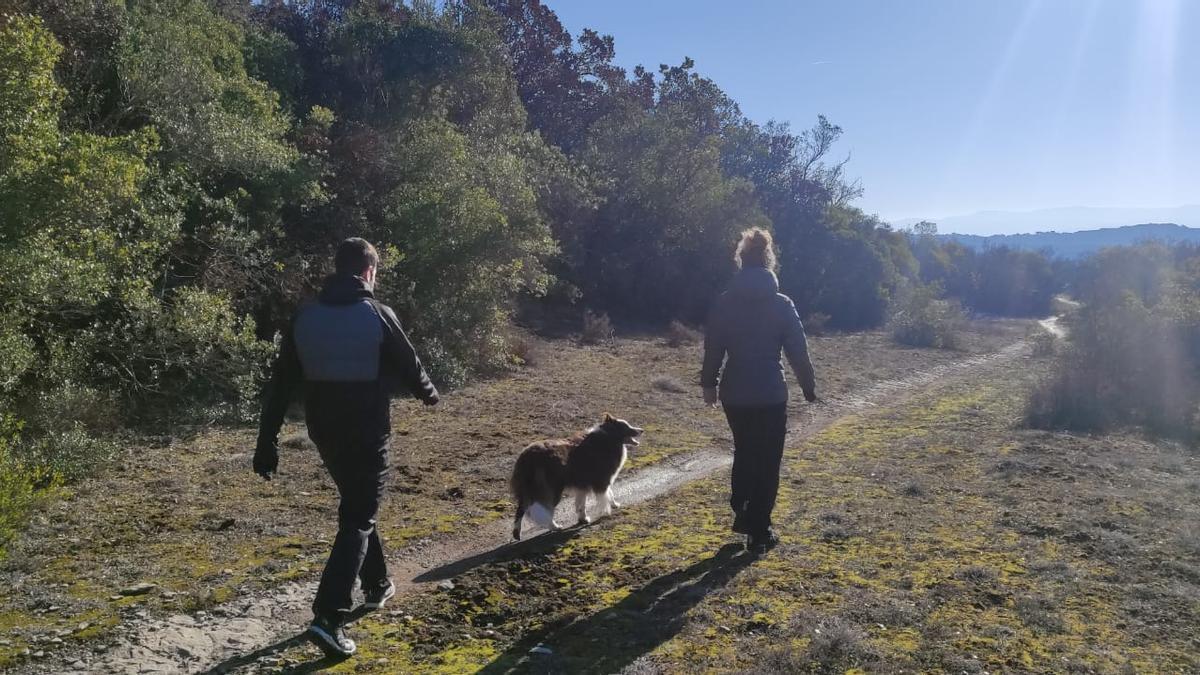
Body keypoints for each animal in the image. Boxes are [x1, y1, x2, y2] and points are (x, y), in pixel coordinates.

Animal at [508, 413, 643, 538]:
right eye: (626, 426)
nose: (642, 430)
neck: (608, 437)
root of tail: (528, 458)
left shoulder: (582, 485)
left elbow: (583, 504)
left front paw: (585, 518)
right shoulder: (601, 480)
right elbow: (605, 495)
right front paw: (607, 511)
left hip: (527, 489)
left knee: (521, 509)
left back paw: (517, 534)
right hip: (551, 490)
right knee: (543, 510)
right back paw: (555, 526)